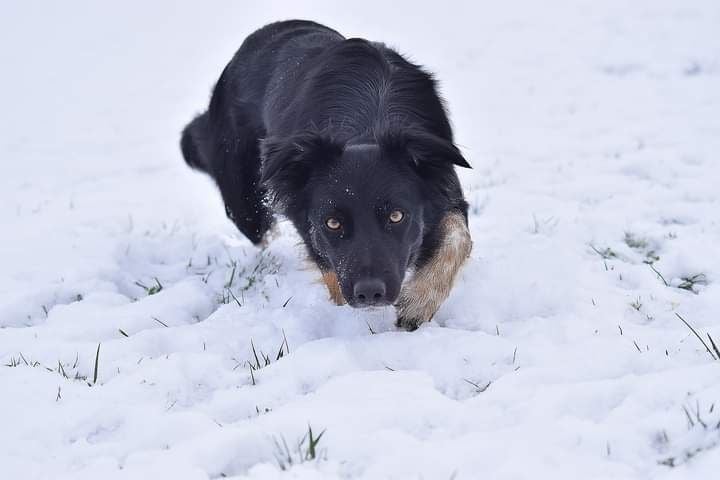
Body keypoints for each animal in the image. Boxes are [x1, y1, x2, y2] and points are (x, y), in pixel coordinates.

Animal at [181, 19, 472, 330]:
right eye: (332, 223)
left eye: (396, 216)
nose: (370, 294)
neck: (369, 122)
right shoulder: (308, 222)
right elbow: (330, 269)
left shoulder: (443, 187)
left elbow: (457, 238)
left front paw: (418, 302)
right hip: (245, 204)